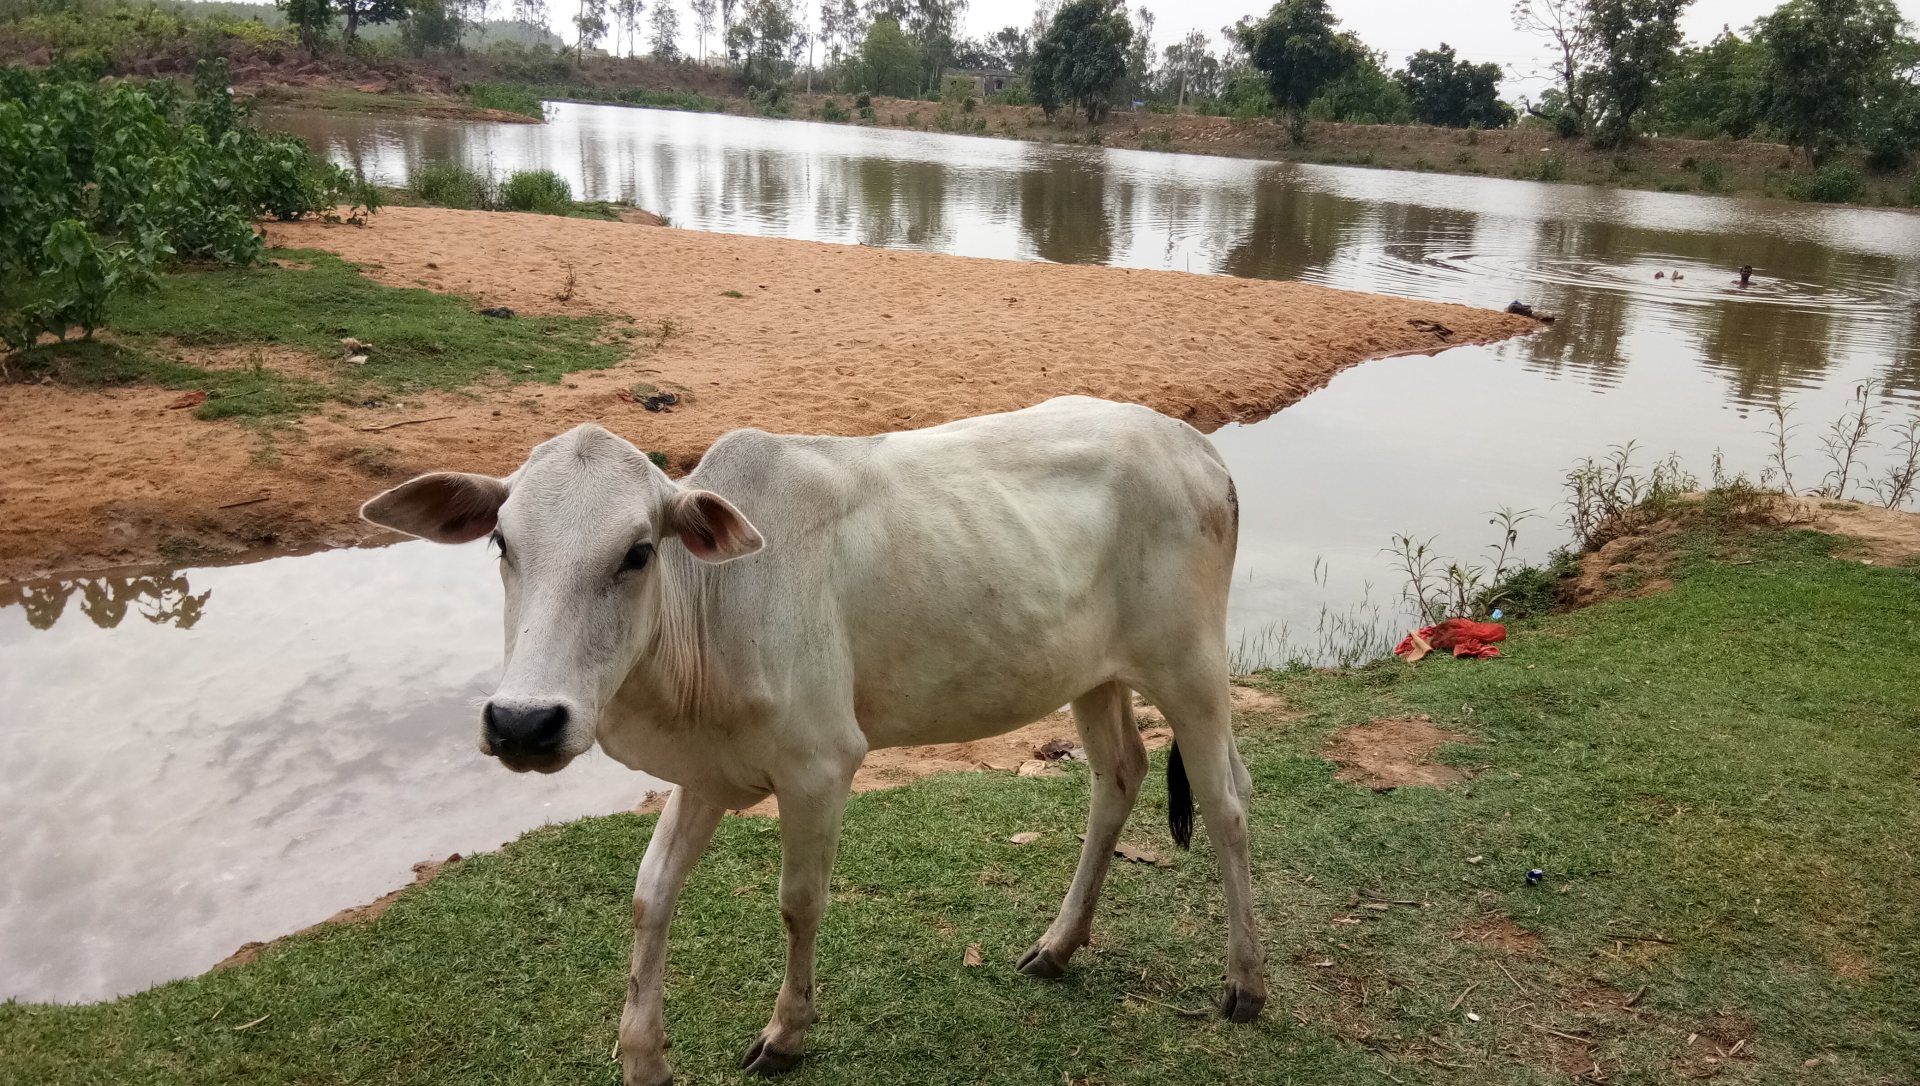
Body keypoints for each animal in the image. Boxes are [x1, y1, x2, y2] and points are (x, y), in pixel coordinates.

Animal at [360, 396, 1265, 1085]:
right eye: (502, 542)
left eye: (638, 552)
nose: (523, 720)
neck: (713, 607)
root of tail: (1198, 449)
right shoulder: (707, 773)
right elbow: (651, 894)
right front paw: (643, 1056)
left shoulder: (820, 767)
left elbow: (799, 902)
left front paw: (785, 1035)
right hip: (1092, 675)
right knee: (1119, 775)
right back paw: (1057, 946)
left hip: (1190, 665)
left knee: (1228, 802)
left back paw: (1246, 983)